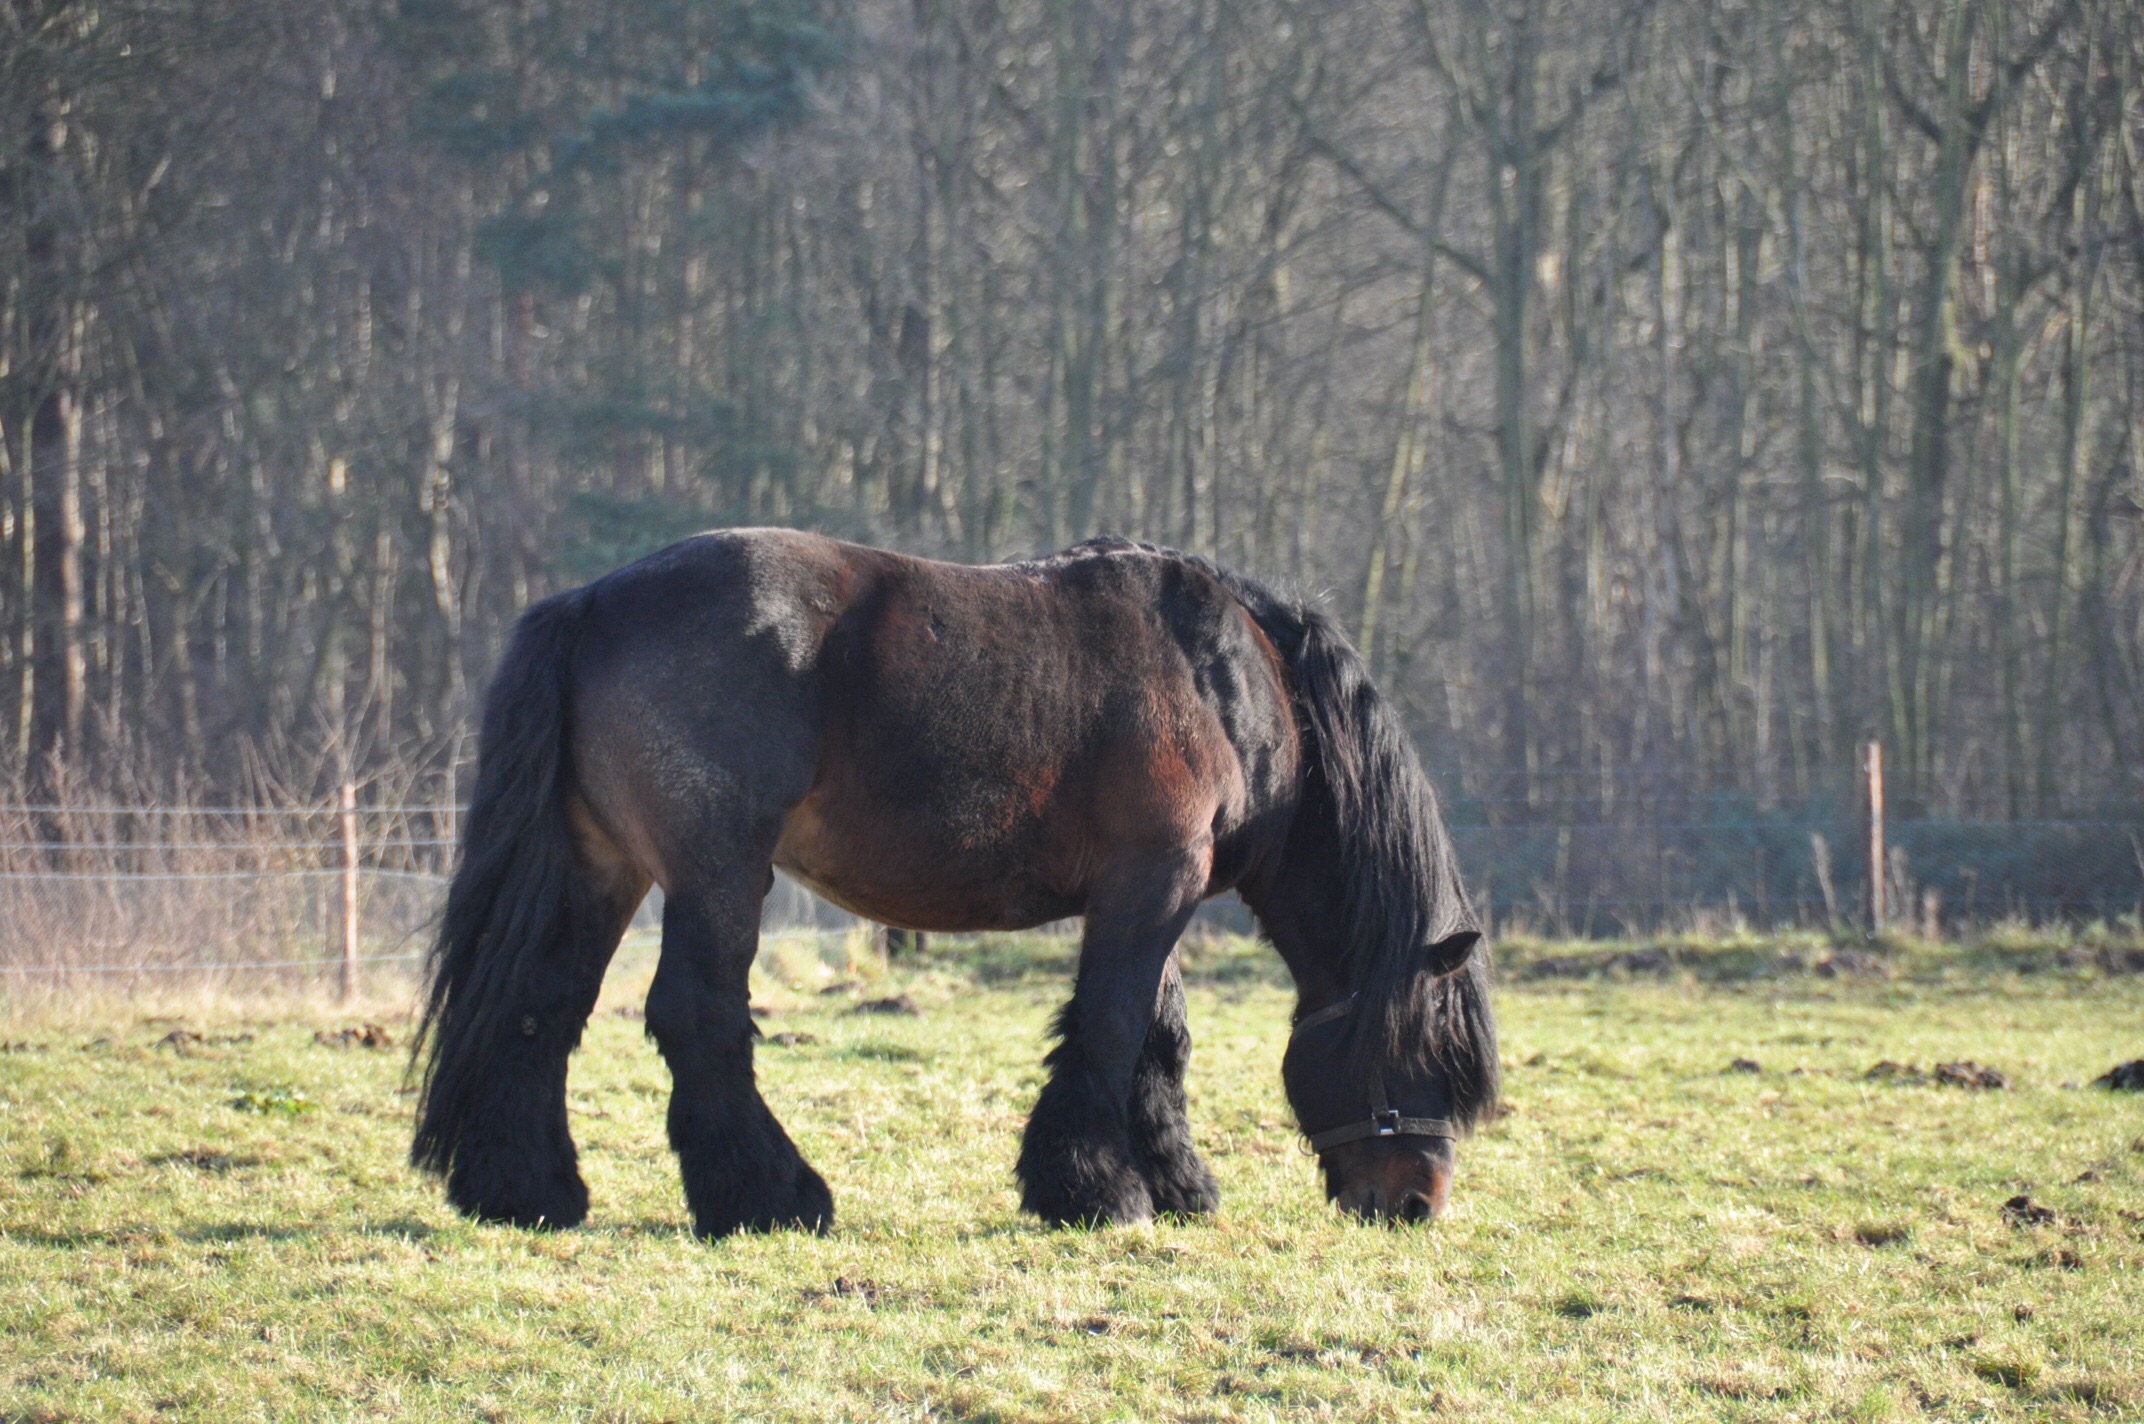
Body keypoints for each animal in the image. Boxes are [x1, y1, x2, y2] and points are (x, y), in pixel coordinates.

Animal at [410, 529, 1497, 1236]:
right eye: (1425, 1051)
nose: (1415, 1201)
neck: (1227, 677)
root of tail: (590, 603)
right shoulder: (1155, 879)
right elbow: (1110, 1028)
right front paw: (1095, 1192)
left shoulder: (1154, 891)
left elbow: (1159, 1036)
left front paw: (1177, 1182)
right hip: (716, 873)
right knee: (695, 1016)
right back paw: (771, 1197)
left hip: (603, 867)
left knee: (537, 1009)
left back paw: (527, 1191)